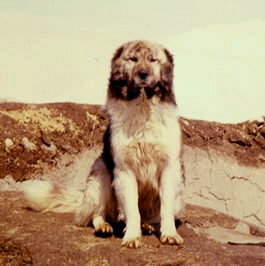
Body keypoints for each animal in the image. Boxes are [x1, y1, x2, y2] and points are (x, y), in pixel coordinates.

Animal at [22, 40, 184, 248]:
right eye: (133, 59)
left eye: (153, 60)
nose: (143, 74)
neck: (143, 109)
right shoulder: (124, 170)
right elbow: (132, 209)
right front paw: (132, 236)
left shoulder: (169, 169)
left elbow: (165, 209)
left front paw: (169, 234)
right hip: (102, 173)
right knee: (98, 214)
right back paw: (104, 227)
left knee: (149, 217)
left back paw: (146, 226)